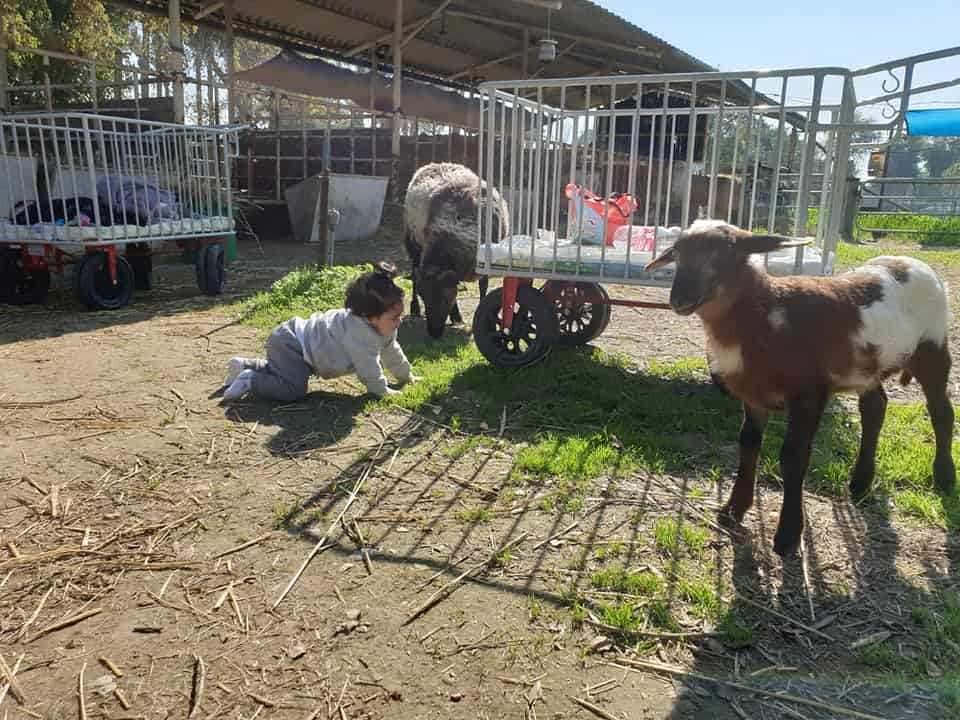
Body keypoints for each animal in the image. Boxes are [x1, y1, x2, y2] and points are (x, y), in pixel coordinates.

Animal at [404, 163, 510, 338]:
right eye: (424, 296)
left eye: (445, 298)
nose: (434, 333)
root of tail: (435, 164)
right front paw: (456, 316)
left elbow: (483, 286)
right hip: (413, 240)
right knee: (413, 271)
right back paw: (415, 308)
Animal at [644, 219, 952, 556]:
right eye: (677, 254)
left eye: (725, 253)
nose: (679, 298)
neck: (764, 314)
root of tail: (914, 263)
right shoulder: (755, 397)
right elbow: (748, 444)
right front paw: (733, 509)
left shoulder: (808, 393)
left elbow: (793, 458)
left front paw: (788, 535)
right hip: (870, 367)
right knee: (875, 408)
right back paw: (860, 482)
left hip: (933, 346)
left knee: (941, 413)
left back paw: (944, 477)